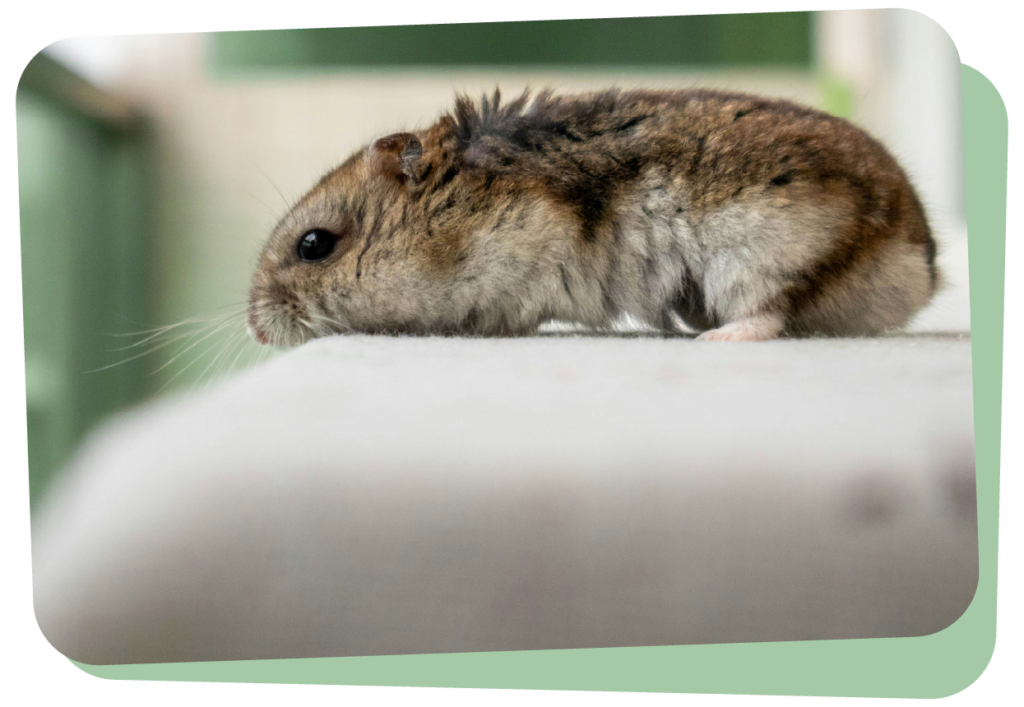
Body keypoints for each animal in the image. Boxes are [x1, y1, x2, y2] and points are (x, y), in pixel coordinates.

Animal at [247, 87, 940, 346]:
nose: (256, 330)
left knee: (769, 316)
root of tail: (923, 262)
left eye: (314, 245)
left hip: (762, 254)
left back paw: (713, 341)